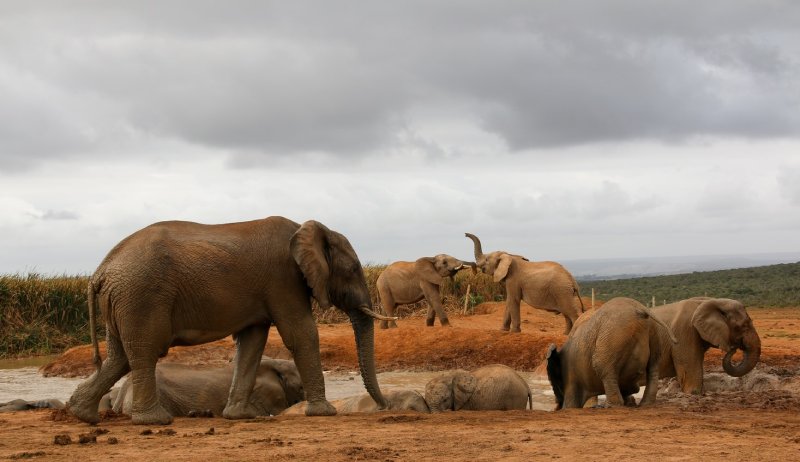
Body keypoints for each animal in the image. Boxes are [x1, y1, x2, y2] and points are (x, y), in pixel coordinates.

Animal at [544, 296, 676, 408]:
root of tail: (640, 308)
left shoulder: (570, 376)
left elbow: (571, 403)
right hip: (653, 331)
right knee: (653, 367)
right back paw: (644, 404)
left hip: (614, 333)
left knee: (602, 366)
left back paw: (611, 406)